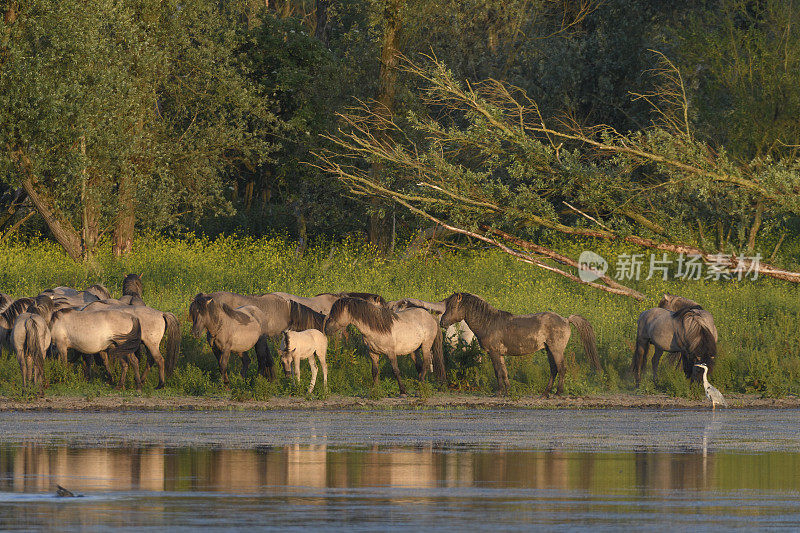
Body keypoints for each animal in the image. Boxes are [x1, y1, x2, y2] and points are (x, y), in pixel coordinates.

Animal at [438, 290, 600, 394]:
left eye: (453, 306)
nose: (442, 322)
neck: (488, 322)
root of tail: (566, 319)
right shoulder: (500, 354)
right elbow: (504, 372)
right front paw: (508, 390)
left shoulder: (494, 353)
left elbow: (498, 372)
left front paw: (499, 391)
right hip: (549, 350)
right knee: (554, 370)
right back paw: (546, 392)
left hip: (556, 350)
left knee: (561, 369)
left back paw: (558, 392)